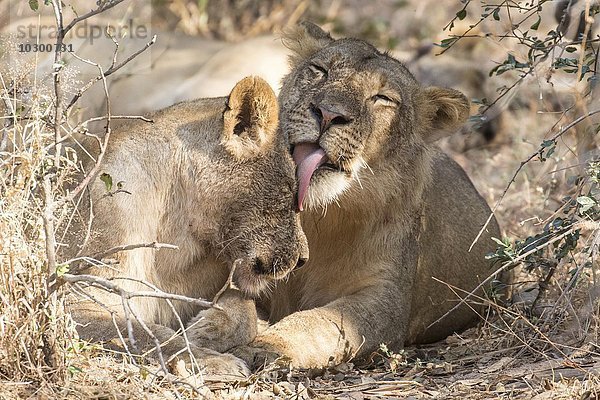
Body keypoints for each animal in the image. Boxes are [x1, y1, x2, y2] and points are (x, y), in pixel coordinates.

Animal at [64, 76, 310, 378]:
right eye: (289, 191)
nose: (303, 259)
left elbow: (245, 308)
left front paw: (204, 330)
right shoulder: (79, 293)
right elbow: (146, 334)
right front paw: (211, 359)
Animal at [232, 23, 504, 368]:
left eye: (382, 98)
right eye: (319, 70)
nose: (327, 114)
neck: (319, 218)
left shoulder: (384, 301)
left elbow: (317, 323)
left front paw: (266, 346)